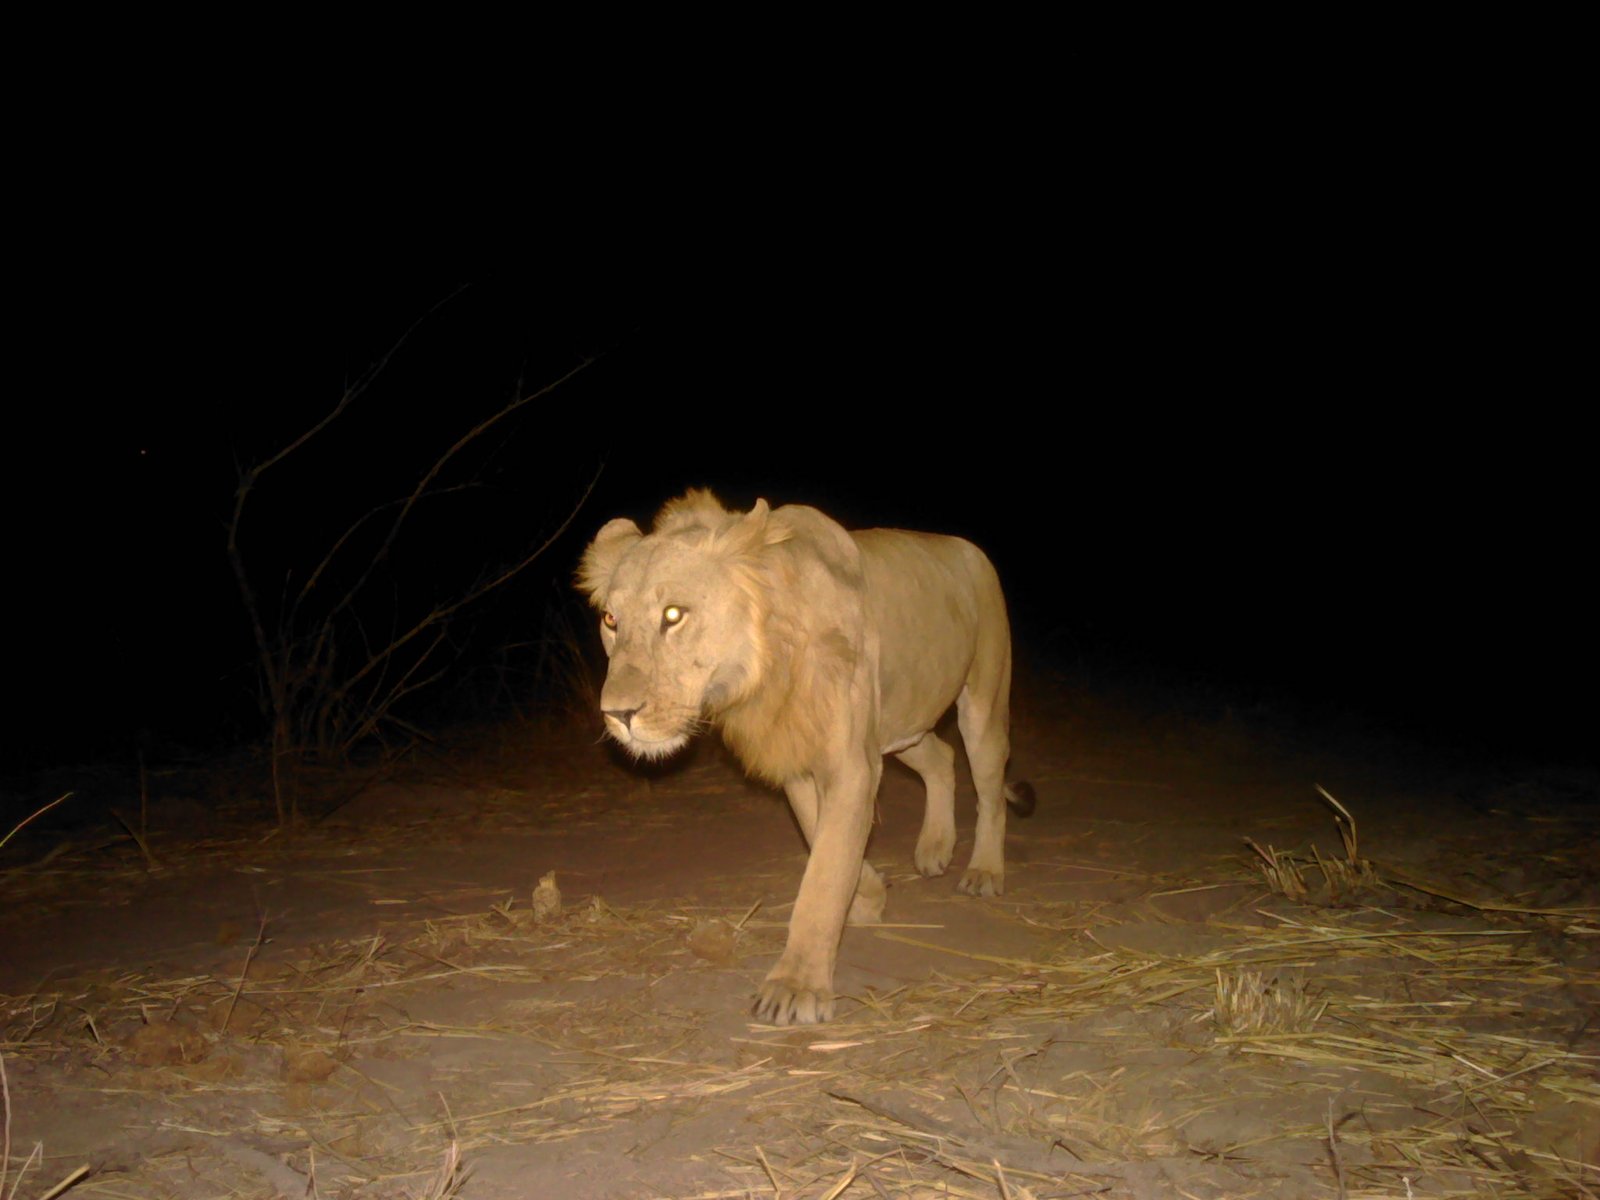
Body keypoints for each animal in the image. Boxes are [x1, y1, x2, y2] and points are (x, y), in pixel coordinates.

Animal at [578, 490, 1033, 1026]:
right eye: (611, 620)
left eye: (673, 615)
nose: (617, 714)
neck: (761, 667)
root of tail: (968, 549)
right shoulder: (797, 754)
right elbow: (822, 838)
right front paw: (868, 896)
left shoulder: (851, 763)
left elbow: (824, 873)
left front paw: (796, 987)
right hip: (902, 725)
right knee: (941, 758)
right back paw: (934, 848)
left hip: (982, 702)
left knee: (989, 789)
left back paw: (984, 872)